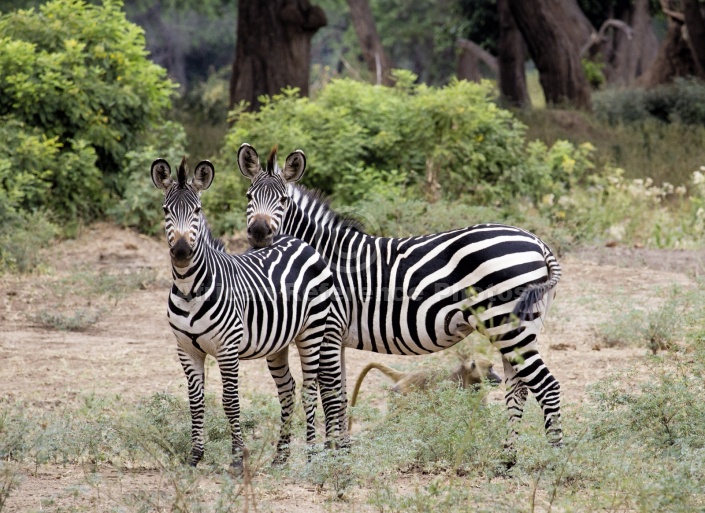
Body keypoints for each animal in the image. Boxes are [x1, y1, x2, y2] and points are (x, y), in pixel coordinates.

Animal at [151, 157, 344, 472]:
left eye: (197, 211)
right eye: (166, 211)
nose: (180, 251)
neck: (190, 288)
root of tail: (295, 239)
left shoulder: (227, 348)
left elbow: (230, 401)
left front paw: (237, 459)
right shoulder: (186, 350)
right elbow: (195, 401)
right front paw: (195, 456)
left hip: (312, 330)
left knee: (310, 388)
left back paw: (312, 455)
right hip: (278, 342)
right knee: (288, 389)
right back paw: (281, 457)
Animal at [239, 145, 564, 460]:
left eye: (283, 200)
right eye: (249, 197)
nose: (258, 233)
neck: (320, 256)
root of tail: (538, 243)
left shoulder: (328, 328)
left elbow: (329, 392)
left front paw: (332, 458)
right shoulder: (338, 335)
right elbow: (341, 394)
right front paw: (342, 451)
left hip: (508, 326)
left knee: (547, 387)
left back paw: (554, 460)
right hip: (518, 329)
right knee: (518, 390)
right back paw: (507, 461)